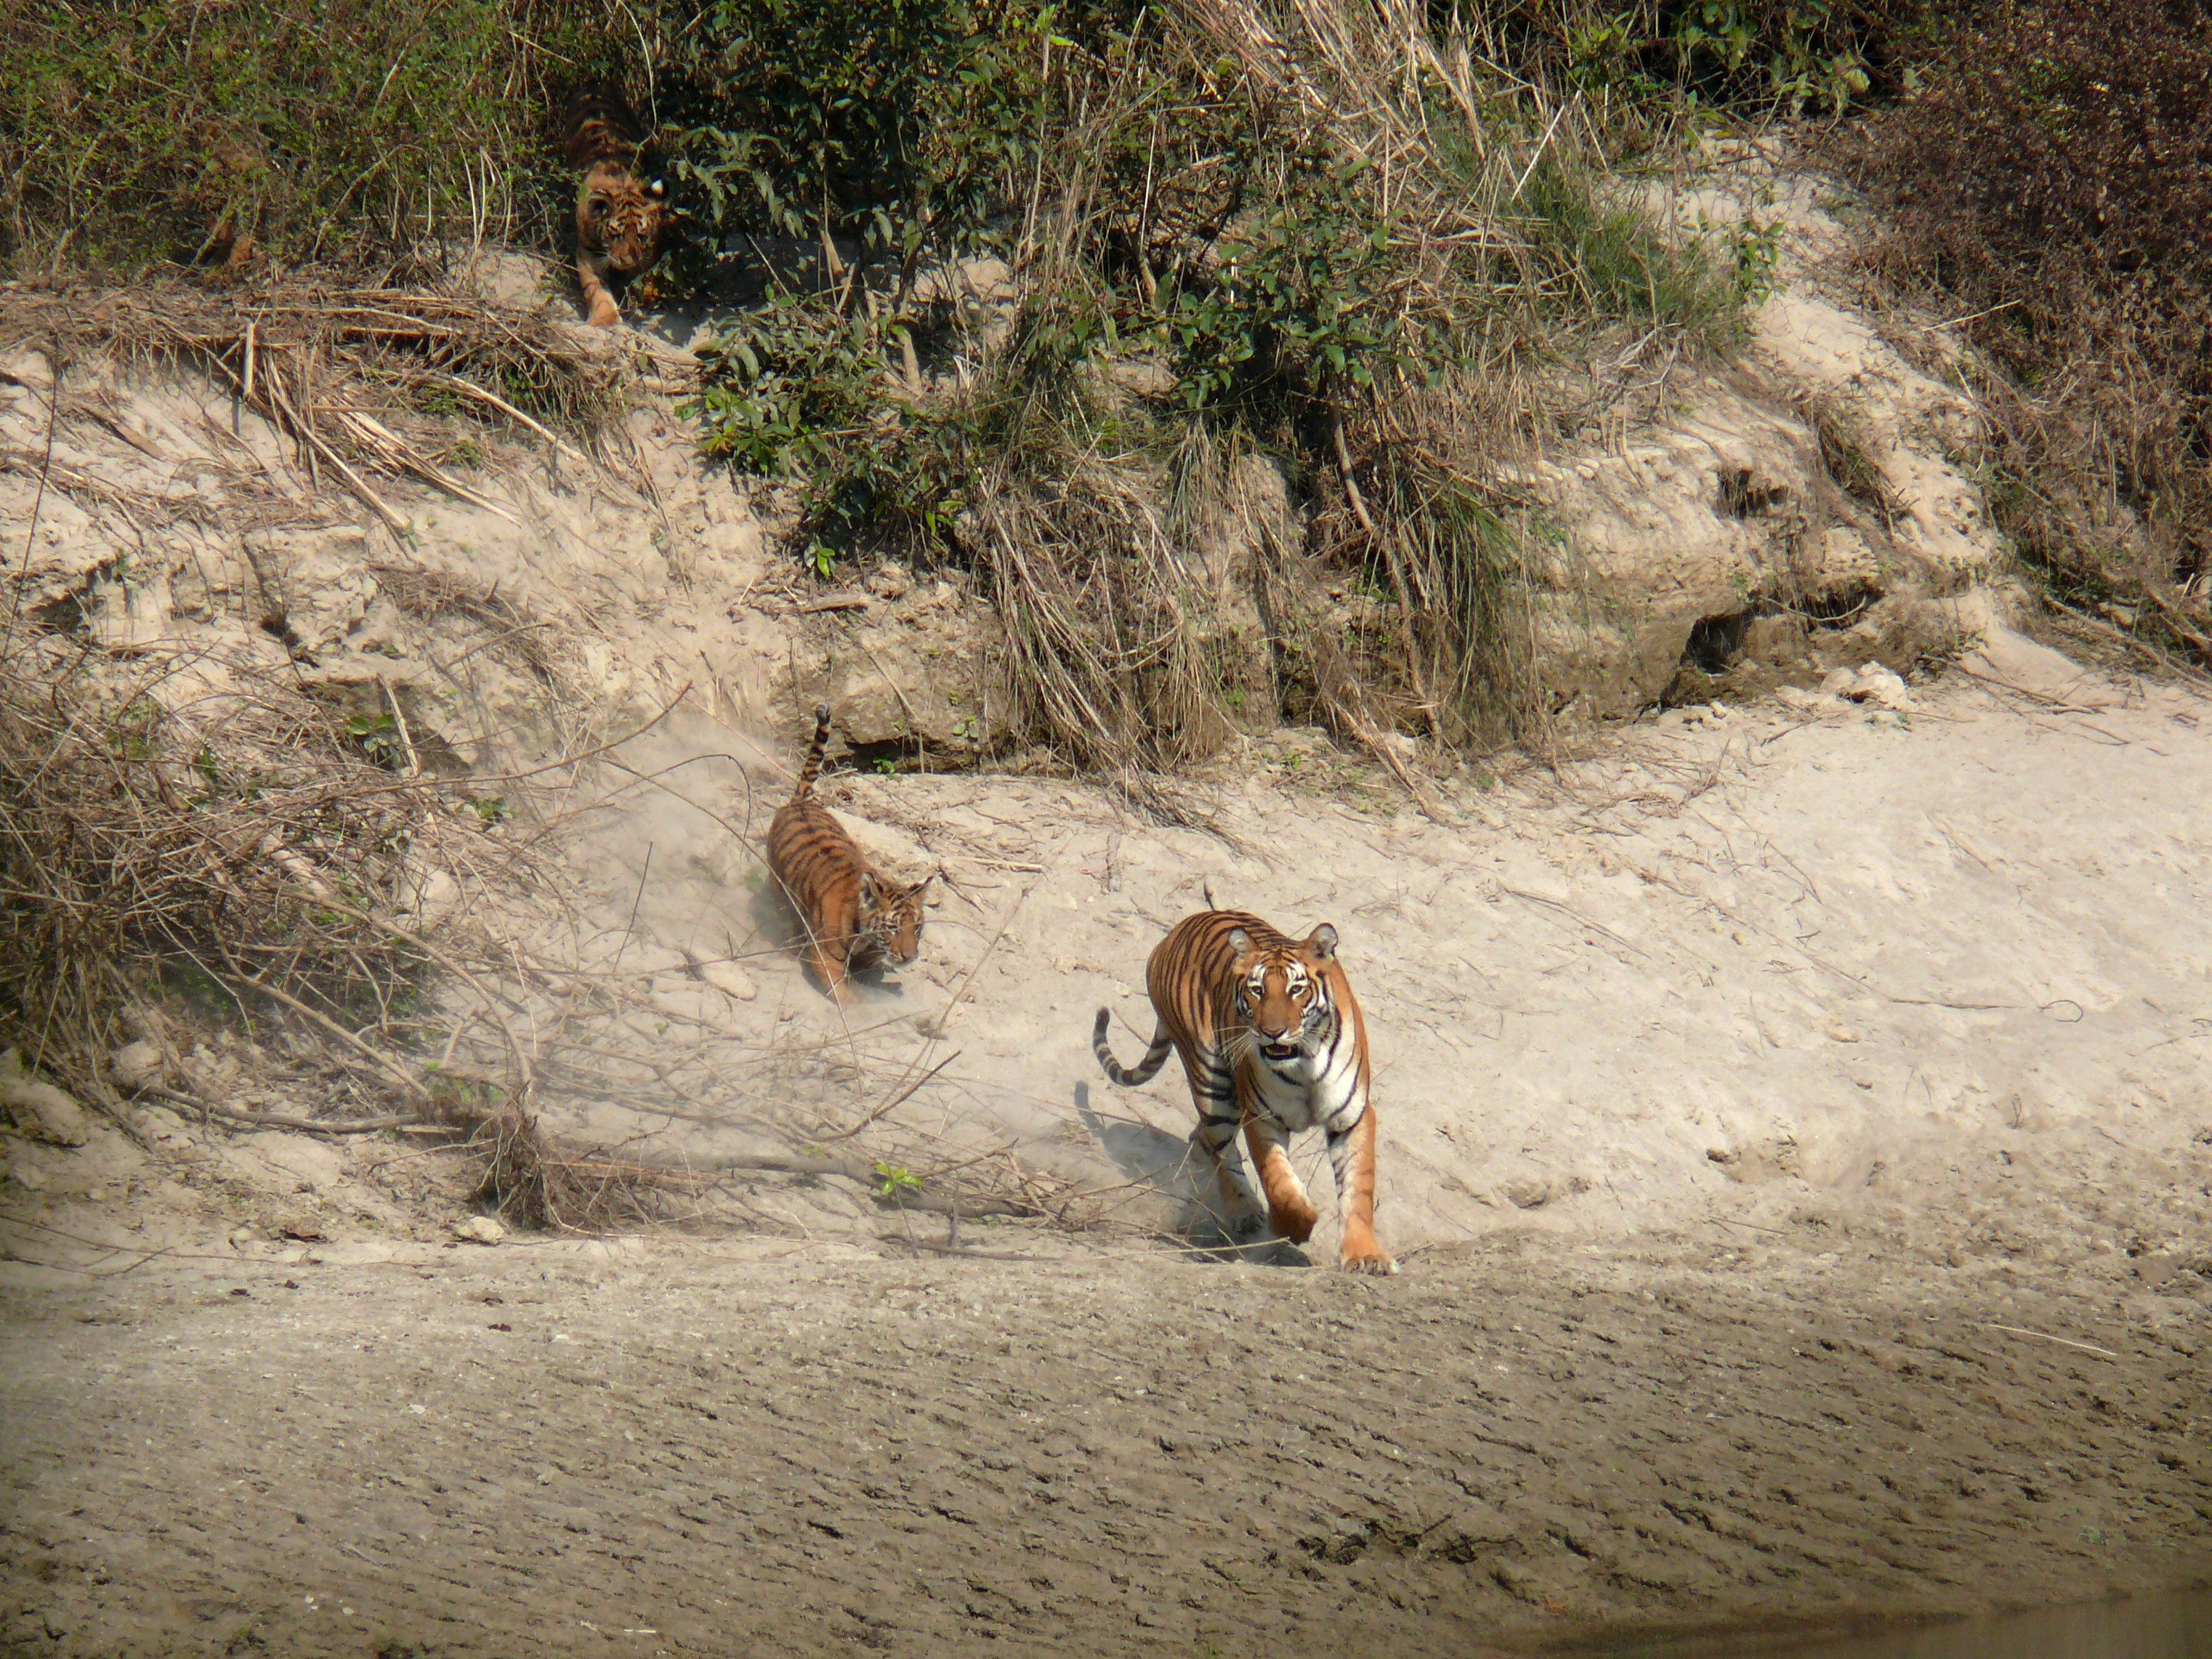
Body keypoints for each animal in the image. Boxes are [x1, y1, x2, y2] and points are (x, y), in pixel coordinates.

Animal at [560, 82, 675, 329]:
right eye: (616, 234)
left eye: (641, 235)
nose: (626, 260)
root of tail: (594, 85)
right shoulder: (588, 249)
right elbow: (595, 286)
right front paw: (604, 319)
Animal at [765, 704, 933, 1005]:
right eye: (893, 928)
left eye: (917, 928)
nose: (909, 957)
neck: (864, 933)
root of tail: (802, 801)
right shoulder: (826, 954)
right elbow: (840, 990)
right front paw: (855, 1008)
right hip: (779, 886)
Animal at [1094, 908, 1393, 1274]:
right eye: (1257, 990)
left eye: (1296, 989)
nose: (1273, 1032)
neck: (1304, 1064)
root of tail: (1173, 934)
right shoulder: (1262, 1116)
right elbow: (1280, 1184)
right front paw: (1294, 1225)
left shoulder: (1351, 1117)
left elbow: (1358, 1187)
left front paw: (1366, 1257)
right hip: (1211, 1081)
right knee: (1219, 1147)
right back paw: (1246, 1214)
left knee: (1203, 1138)